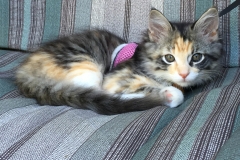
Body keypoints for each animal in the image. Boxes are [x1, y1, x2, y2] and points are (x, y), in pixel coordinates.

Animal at [15, 7, 222, 115]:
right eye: (169, 58)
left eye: (196, 57)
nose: (184, 74)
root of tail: (23, 72)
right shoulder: (115, 77)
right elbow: (171, 92)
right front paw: (168, 94)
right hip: (86, 66)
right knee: (97, 93)